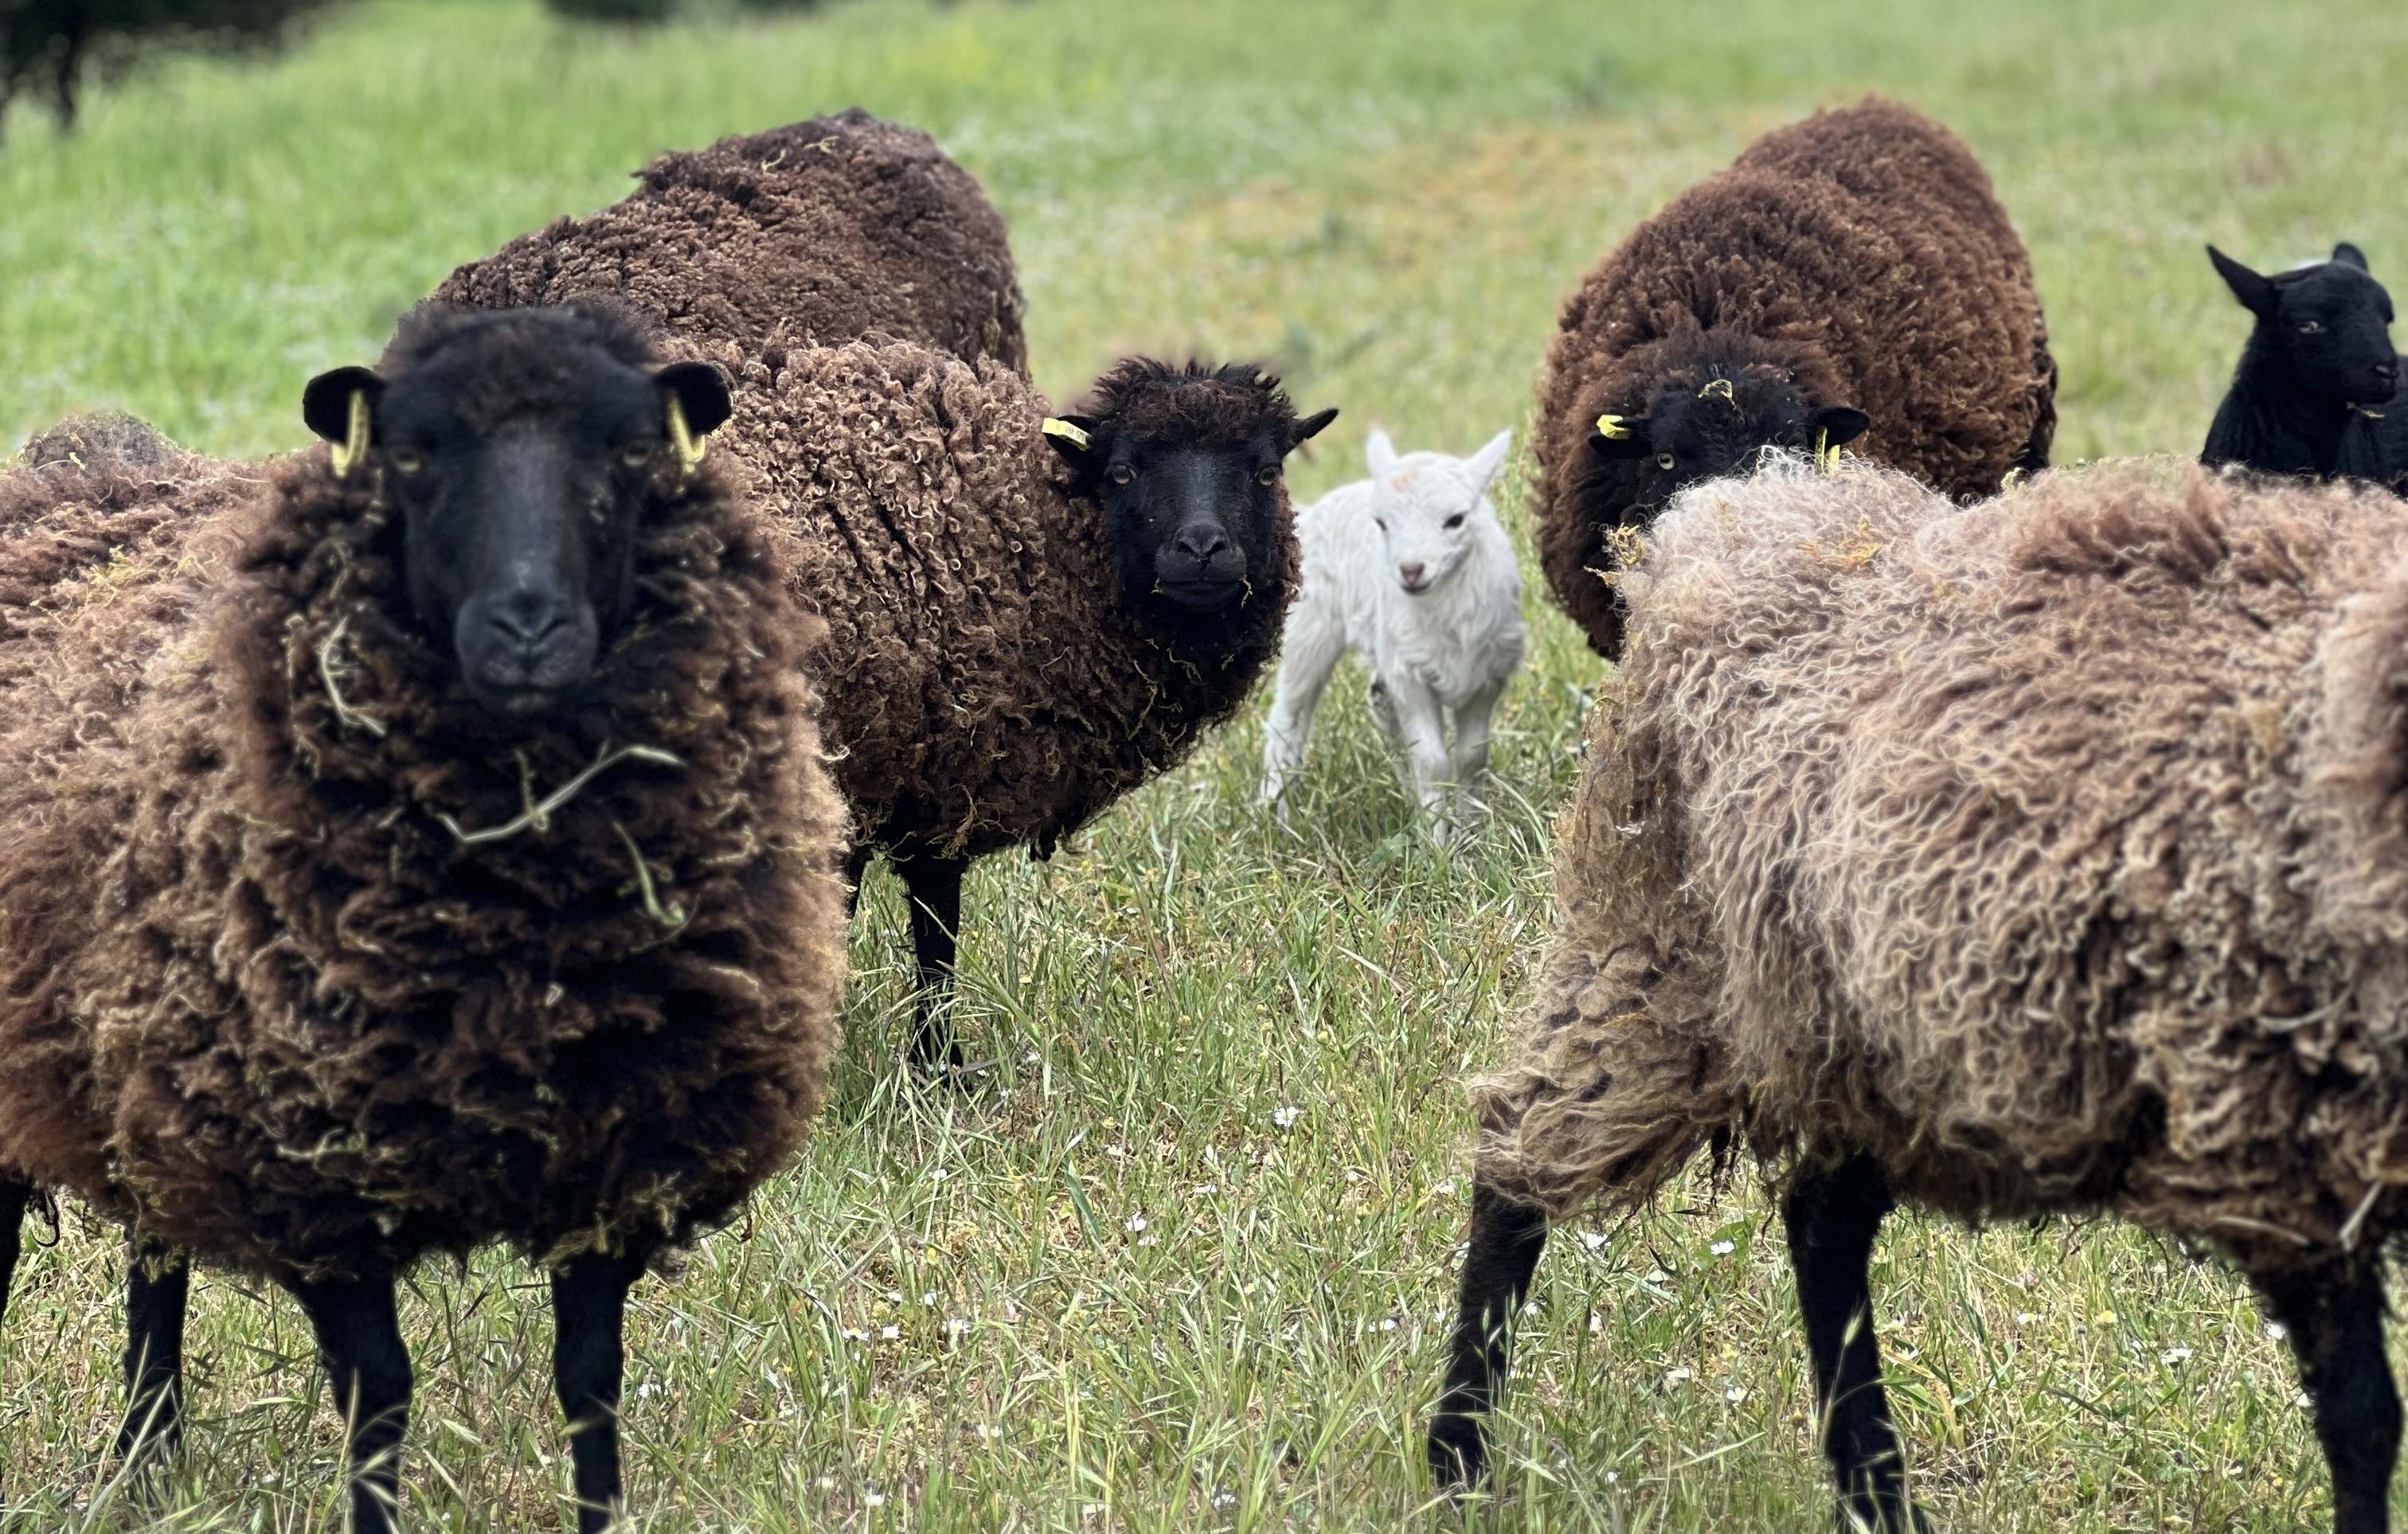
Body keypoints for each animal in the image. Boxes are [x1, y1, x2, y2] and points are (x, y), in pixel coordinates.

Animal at [0, 303, 849, 1534]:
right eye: (410, 454)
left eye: (630, 452)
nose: (528, 627)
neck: (516, 942)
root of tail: (77, 468)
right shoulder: (318, 1175)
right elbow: (381, 1393)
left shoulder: (614, 1152)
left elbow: (590, 1379)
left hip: (142, 1056)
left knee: (155, 1255)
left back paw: (147, 1455)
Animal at [712, 335, 1334, 1071]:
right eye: (1122, 472)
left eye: (1266, 471)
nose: (1202, 549)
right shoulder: (907, 780)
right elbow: (921, 927)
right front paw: (929, 1065)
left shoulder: (918, 785)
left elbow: (931, 931)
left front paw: (932, 1063)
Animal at [1258, 427, 1523, 842]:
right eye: (1381, 524)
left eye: (1456, 519)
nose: (1411, 570)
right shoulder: (1410, 675)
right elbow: (1432, 763)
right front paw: (1438, 847)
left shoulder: (1486, 676)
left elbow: (1471, 759)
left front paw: (1472, 836)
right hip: (1311, 626)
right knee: (1289, 720)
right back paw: (1278, 824)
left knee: (1382, 708)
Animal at [1431, 456, 2408, 1531]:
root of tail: (1733, 510)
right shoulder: (2285, 1152)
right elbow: (2363, 1416)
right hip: (1653, 958)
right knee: (1518, 1160)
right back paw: (1458, 1456)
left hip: (1861, 1040)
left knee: (1822, 1223)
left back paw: (1876, 1496)